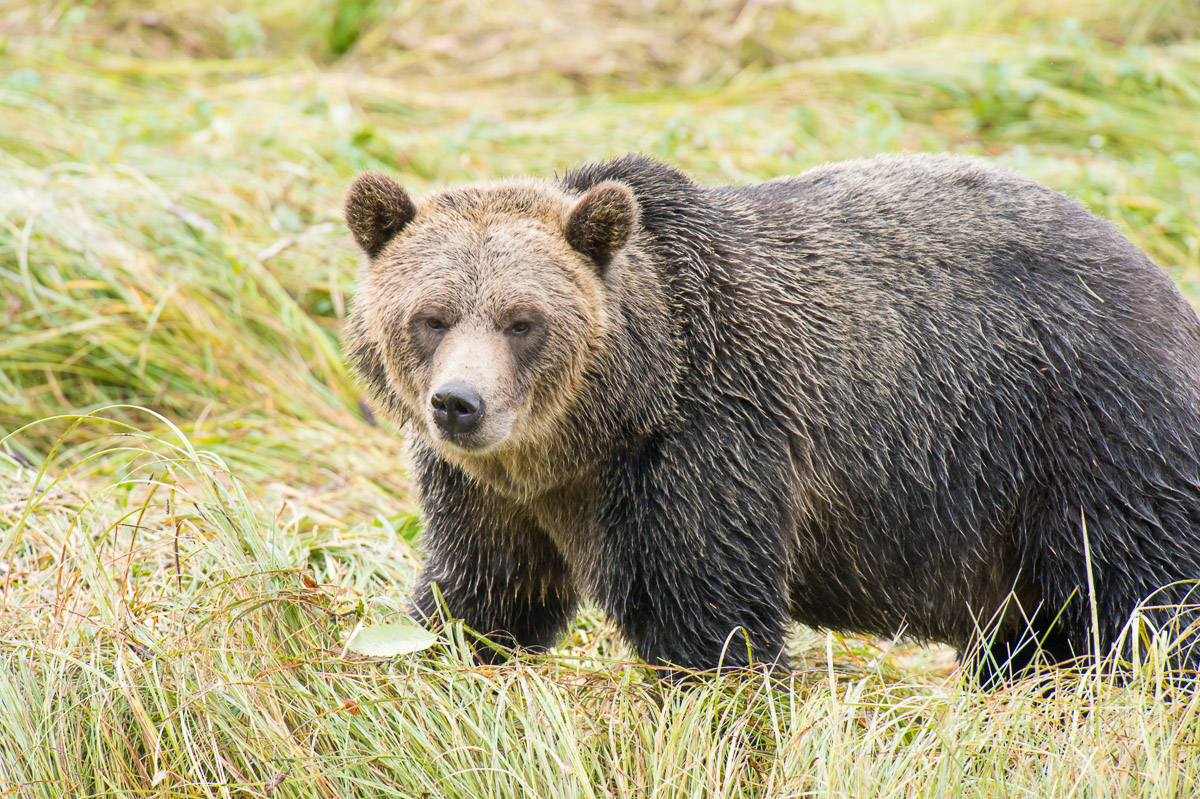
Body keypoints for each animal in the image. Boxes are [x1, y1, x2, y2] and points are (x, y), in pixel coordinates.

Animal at [343, 153, 1200, 676]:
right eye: (432, 316)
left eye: (523, 320)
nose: (460, 403)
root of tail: (1163, 283)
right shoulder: (491, 495)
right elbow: (480, 595)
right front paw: (430, 659)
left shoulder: (710, 447)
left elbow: (710, 626)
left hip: (1087, 433)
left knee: (1148, 606)